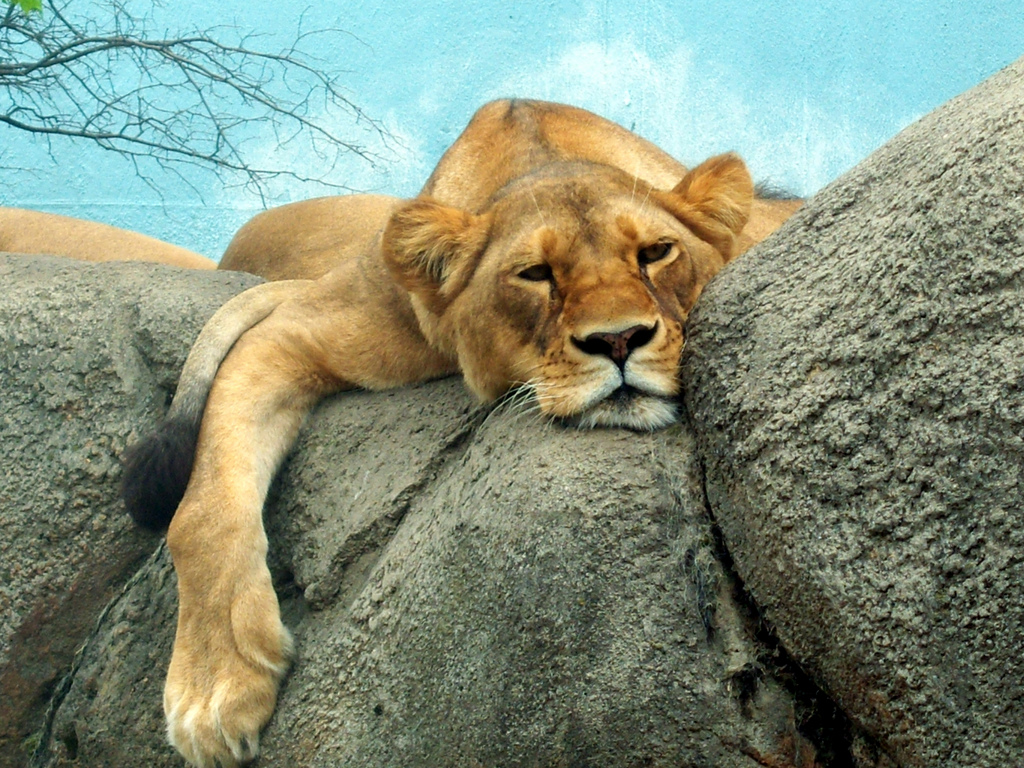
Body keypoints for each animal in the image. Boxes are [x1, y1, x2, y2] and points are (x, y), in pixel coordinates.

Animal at [121, 99, 801, 767]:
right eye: (535, 274)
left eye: (656, 253)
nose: (619, 340)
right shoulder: (297, 330)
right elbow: (202, 512)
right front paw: (215, 688)